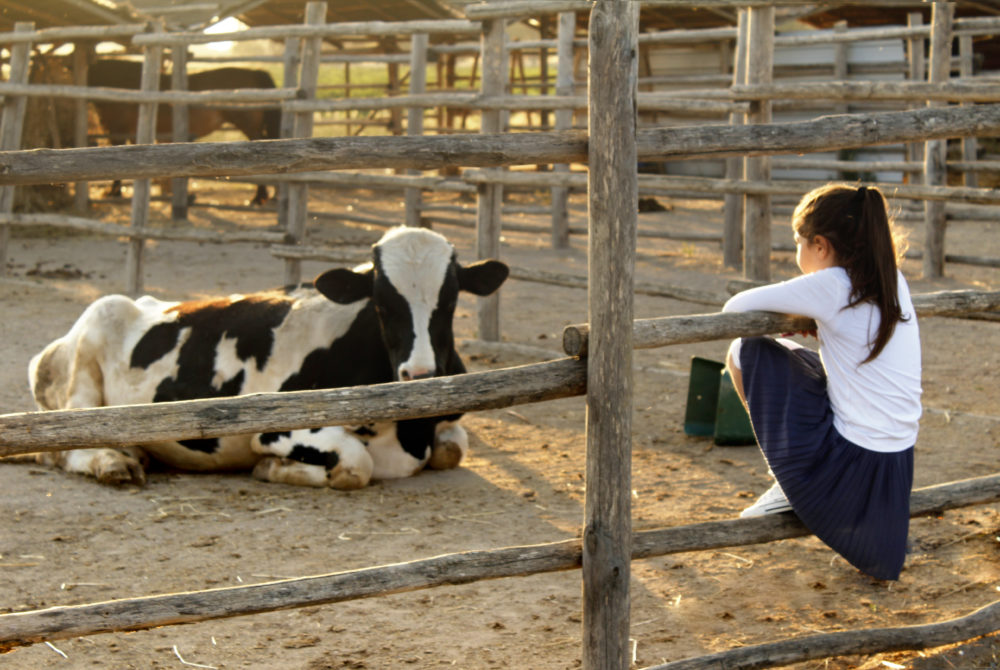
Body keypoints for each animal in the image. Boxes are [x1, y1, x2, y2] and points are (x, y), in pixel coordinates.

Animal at [27, 228, 512, 490]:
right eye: (381, 303)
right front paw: (270, 468)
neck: (412, 431)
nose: (420, 373)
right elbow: (357, 465)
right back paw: (114, 463)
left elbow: (452, 448)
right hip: (87, 360)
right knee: (60, 450)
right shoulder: (281, 429)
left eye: (451, 300)